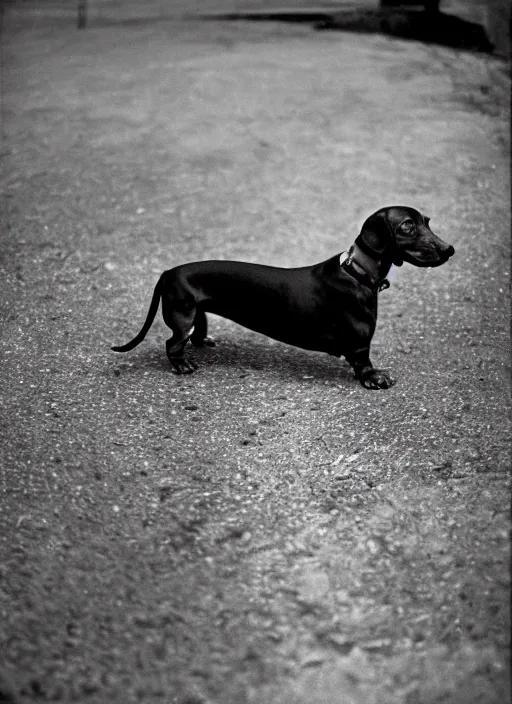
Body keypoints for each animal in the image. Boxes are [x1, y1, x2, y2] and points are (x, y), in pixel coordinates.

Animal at [113, 206, 456, 388]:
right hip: (181, 314)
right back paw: (182, 364)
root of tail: (167, 272)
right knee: (172, 343)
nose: (450, 249)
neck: (357, 271)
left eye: (427, 222)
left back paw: (202, 343)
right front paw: (374, 378)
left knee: (197, 331)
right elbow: (363, 361)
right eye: (407, 226)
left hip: (197, 310)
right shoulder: (360, 341)